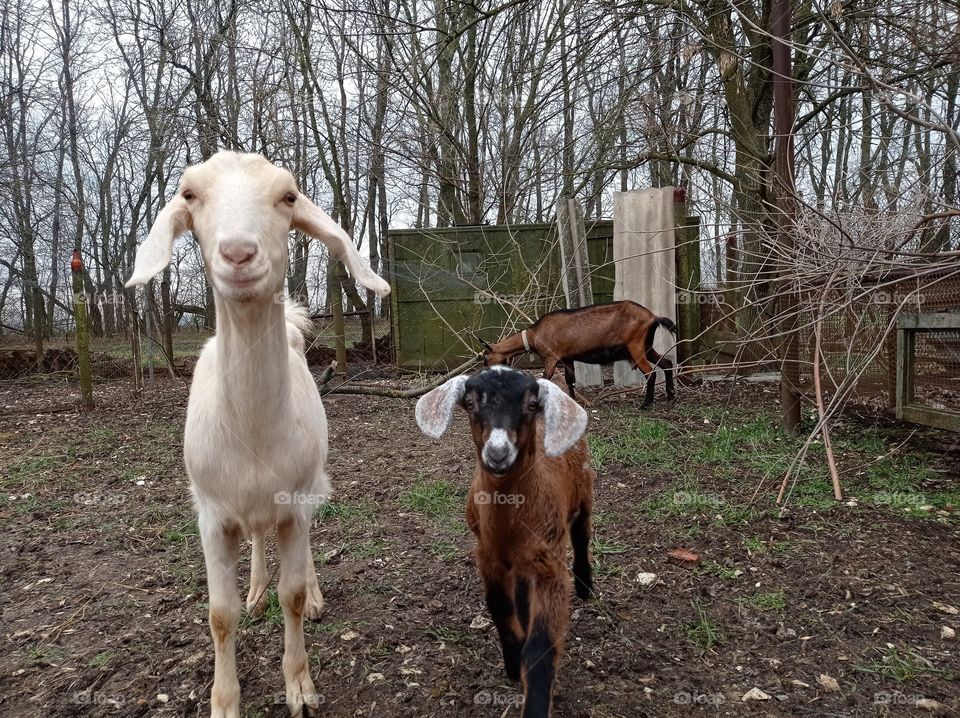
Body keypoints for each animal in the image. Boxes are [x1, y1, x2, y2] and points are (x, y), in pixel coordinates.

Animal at [125, 149, 388, 716]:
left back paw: (310, 593)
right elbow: (219, 613)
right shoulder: (211, 511)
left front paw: (301, 687)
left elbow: (292, 593)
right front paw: (224, 700)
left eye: (289, 196)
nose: (239, 254)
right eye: (190, 194)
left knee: (301, 551)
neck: (251, 432)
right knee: (257, 539)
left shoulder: (295, 499)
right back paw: (255, 589)